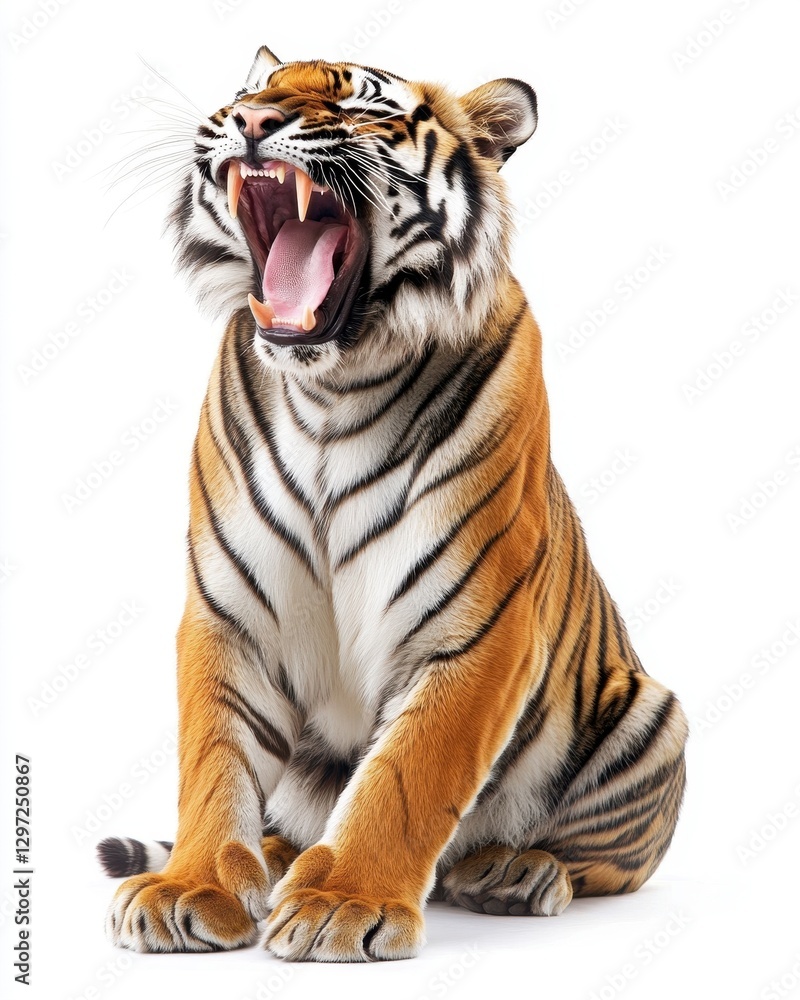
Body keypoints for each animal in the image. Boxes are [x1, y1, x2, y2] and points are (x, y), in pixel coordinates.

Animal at [99, 45, 688, 962]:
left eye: (363, 107)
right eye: (250, 91)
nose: (253, 121)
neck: (331, 387)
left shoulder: (474, 625)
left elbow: (406, 776)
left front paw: (345, 902)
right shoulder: (229, 609)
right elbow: (214, 758)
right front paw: (191, 888)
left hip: (652, 719)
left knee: (597, 864)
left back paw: (514, 871)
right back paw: (276, 856)